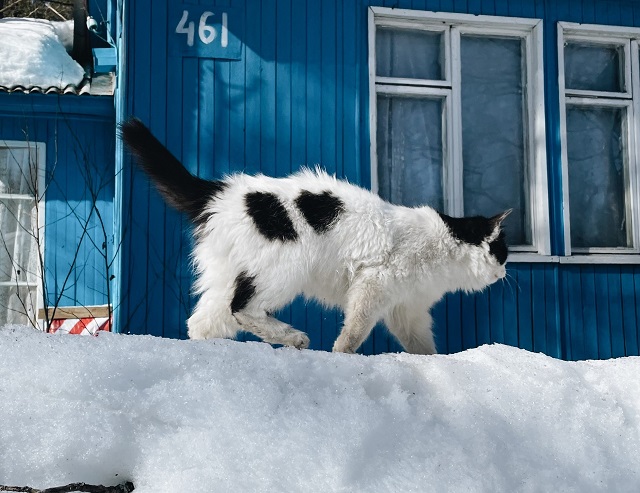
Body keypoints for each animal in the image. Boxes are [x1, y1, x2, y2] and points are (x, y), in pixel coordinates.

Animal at [120, 116, 510, 354]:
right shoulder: (373, 286)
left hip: (228, 279)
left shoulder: (407, 310)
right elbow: (354, 330)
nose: (505, 271)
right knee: (242, 309)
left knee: (201, 323)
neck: (442, 247)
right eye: (503, 253)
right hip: (284, 270)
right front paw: (342, 353)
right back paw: (294, 337)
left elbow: (422, 347)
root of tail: (220, 192)